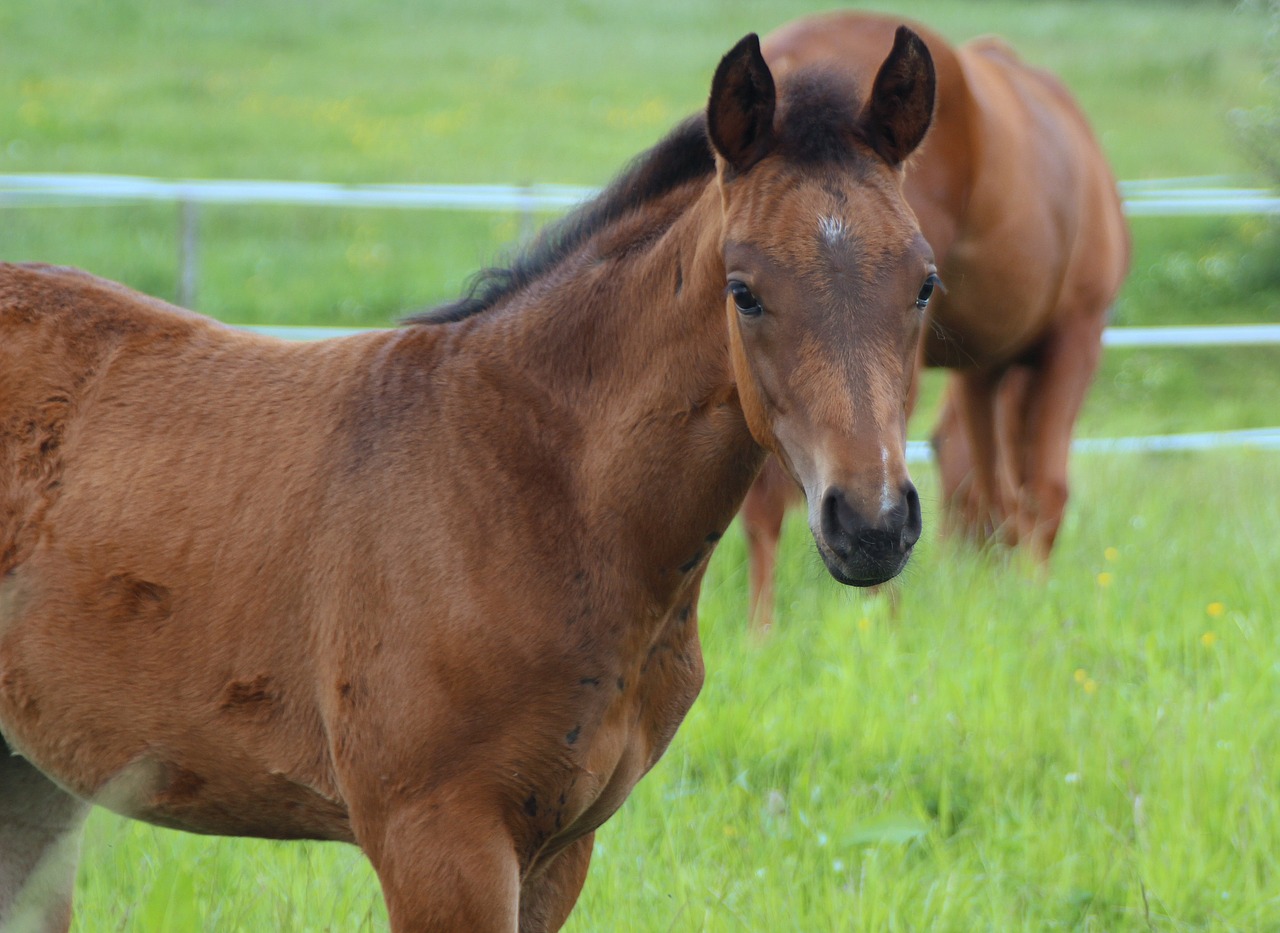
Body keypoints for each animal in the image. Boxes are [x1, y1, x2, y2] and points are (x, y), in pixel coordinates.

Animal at [0, 29, 942, 931]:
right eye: (742, 290)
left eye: (926, 282)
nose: (871, 523)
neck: (535, 491)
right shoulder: (437, 839)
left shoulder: (563, 847)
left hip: (35, 776)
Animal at [742, 10, 1131, 629]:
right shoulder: (1077, 335)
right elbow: (1044, 490)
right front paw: (1035, 599)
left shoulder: (982, 366)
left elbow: (987, 486)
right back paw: (878, 623)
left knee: (764, 506)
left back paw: (764, 631)